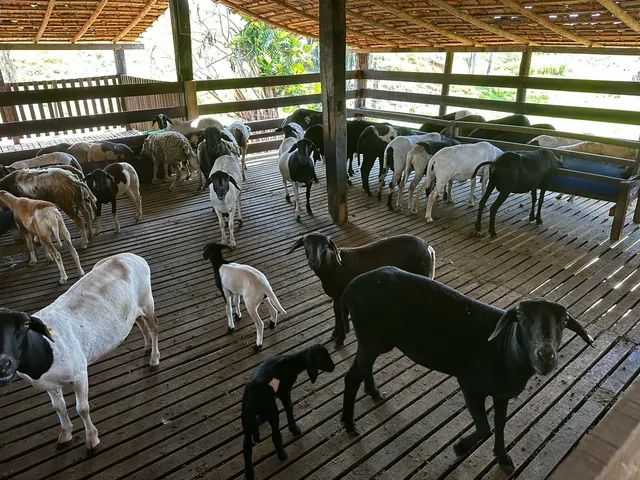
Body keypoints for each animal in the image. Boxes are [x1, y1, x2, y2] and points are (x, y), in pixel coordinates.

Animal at [0, 253, 159, 452]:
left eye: (24, 326)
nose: (4, 364)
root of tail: (131, 255)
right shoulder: (50, 384)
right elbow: (58, 407)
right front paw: (66, 433)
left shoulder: (79, 373)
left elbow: (82, 408)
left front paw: (92, 439)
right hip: (133, 309)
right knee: (140, 322)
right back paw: (147, 347)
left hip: (147, 300)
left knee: (154, 328)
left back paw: (154, 358)